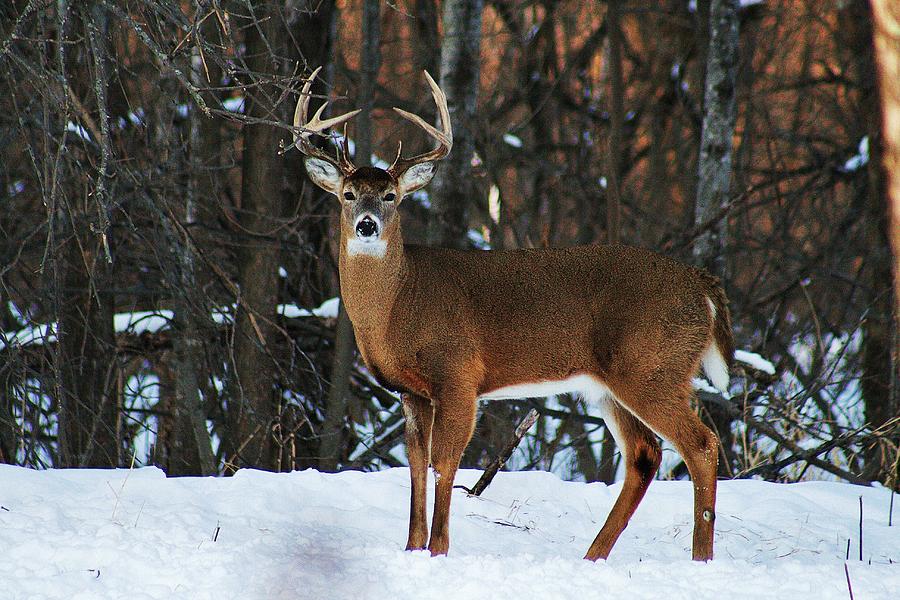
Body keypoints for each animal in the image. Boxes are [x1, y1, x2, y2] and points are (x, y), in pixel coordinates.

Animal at [292, 68, 736, 560]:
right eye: (348, 194)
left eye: (390, 195)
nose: (366, 224)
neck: (397, 307)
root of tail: (702, 285)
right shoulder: (410, 391)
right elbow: (416, 466)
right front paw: (411, 548)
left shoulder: (459, 375)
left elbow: (444, 463)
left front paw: (438, 549)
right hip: (611, 384)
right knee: (646, 454)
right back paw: (592, 557)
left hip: (653, 366)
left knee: (701, 445)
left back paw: (700, 559)